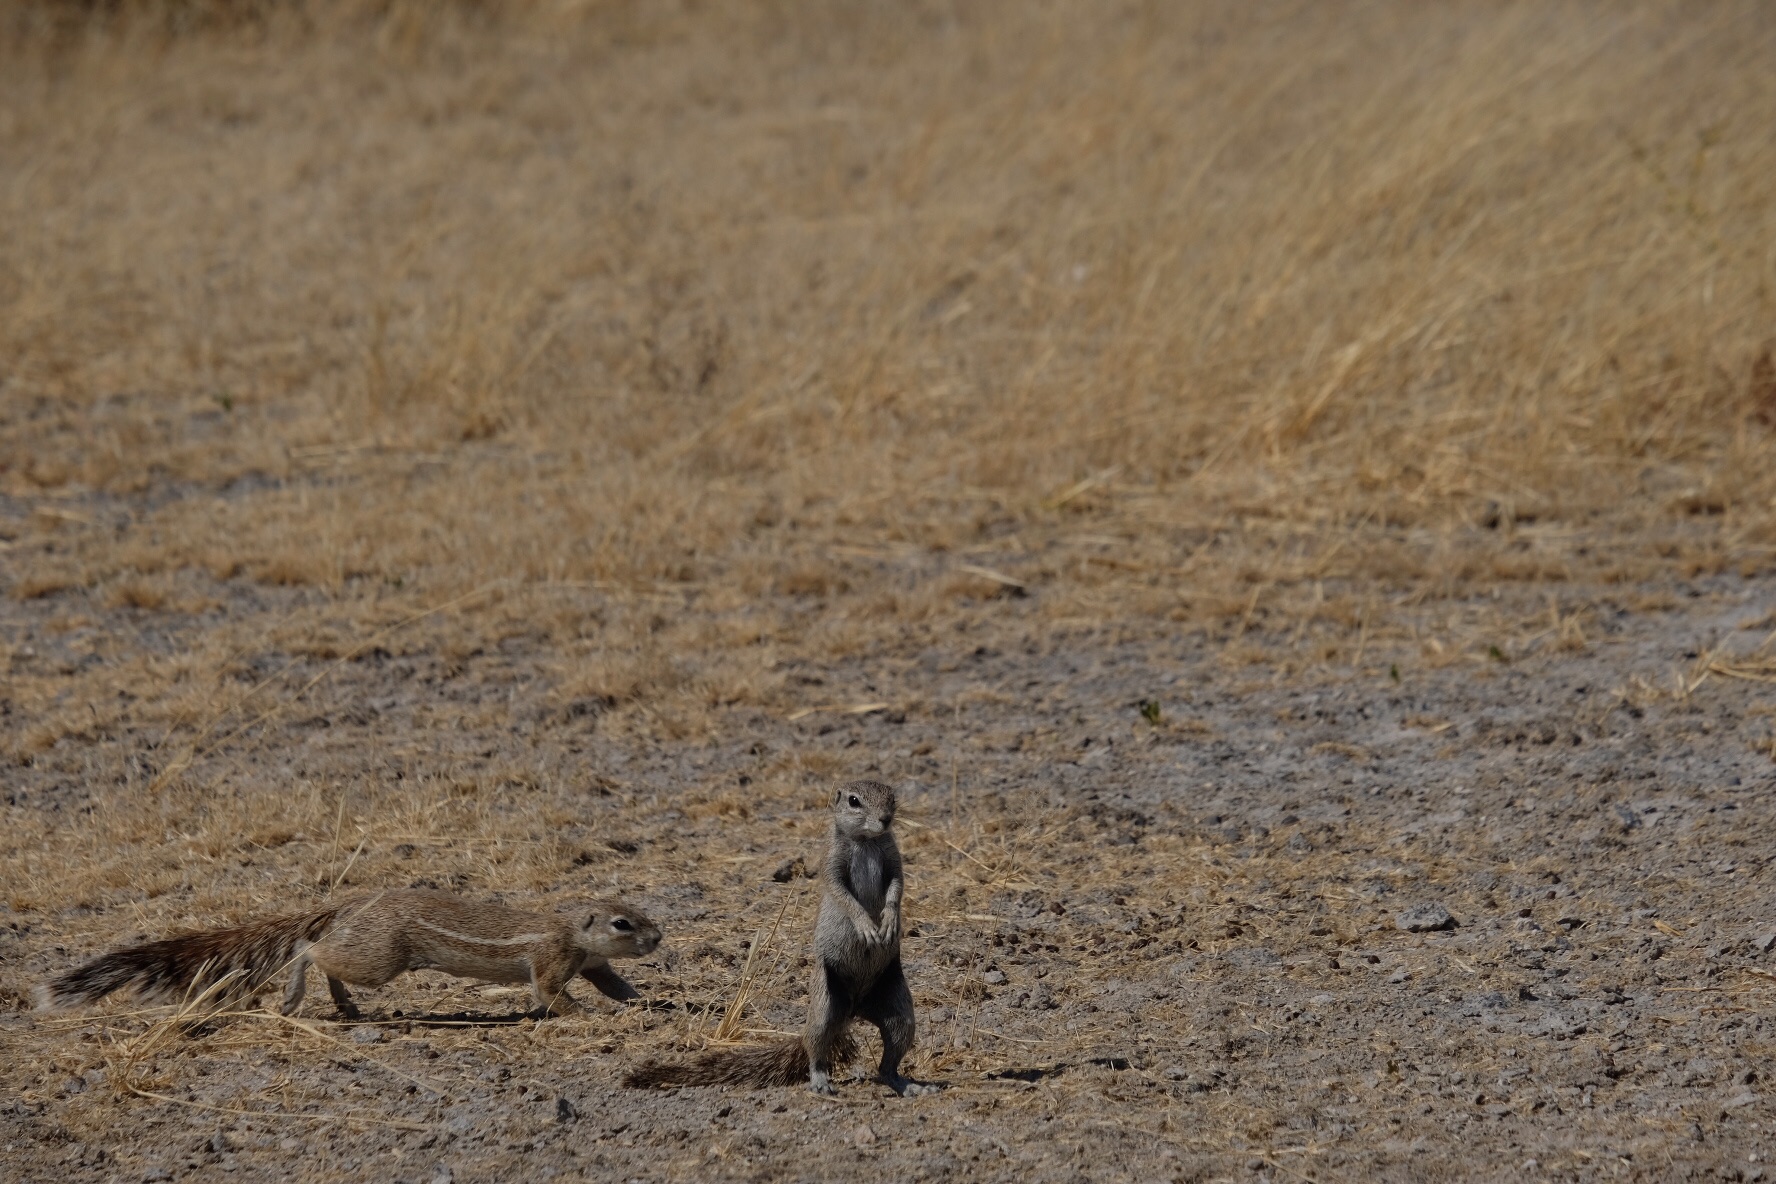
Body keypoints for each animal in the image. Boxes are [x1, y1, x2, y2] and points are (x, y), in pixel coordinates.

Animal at [625, 781, 937, 1100]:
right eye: (854, 801)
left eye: (892, 798)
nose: (886, 819)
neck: (866, 841)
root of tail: (854, 1009)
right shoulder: (831, 862)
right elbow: (843, 896)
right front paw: (866, 926)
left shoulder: (893, 858)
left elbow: (897, 887)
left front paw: (890, 920)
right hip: (825, 1004)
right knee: (816, 1048)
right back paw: (820, 1082)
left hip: (899, 1012)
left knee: (887, 1064)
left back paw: (908, 1085)